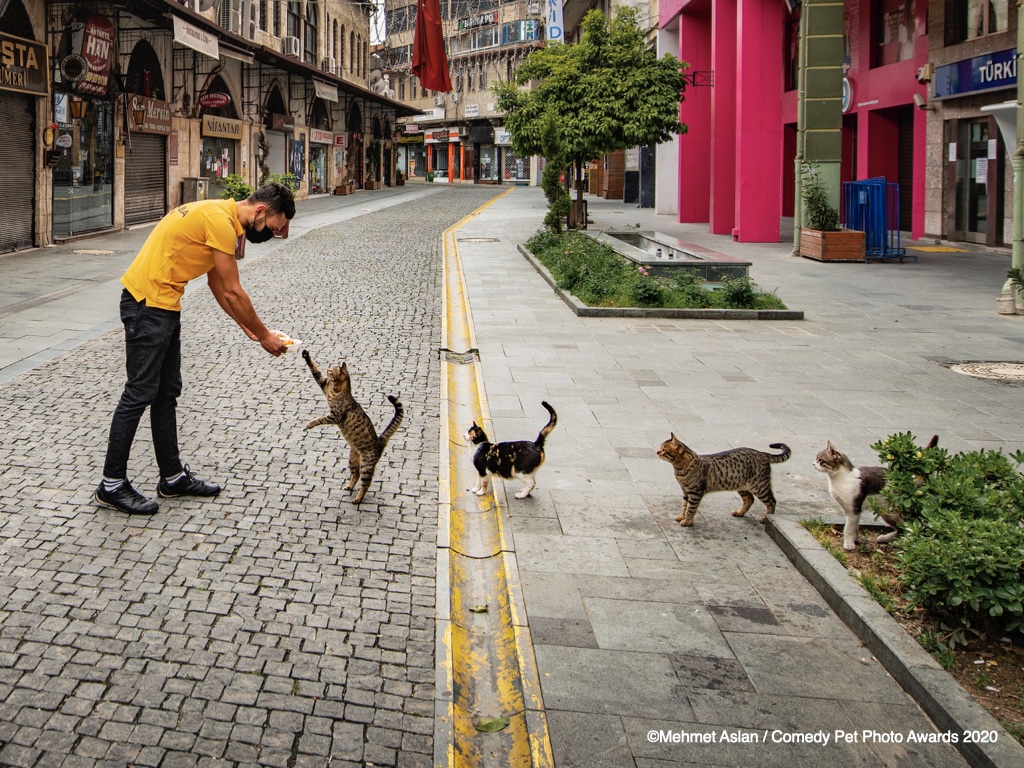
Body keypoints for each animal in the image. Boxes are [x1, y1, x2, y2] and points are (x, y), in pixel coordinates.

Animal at [299, 348, 403, 505]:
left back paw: (358, 498)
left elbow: (320, 419)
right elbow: (314, 369)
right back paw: (349, 486)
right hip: (353, 460)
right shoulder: (323, 383)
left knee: (366, 483)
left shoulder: (334, 416)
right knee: (356, 475)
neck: (336, 390)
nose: (327, 369)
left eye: (331, 371)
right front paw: (306, 354)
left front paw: (310, 424)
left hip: (366, 465)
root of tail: (380, 442)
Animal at [655, 434, 790, 528]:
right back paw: (740, 513)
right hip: (741, 485)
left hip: (759, 486)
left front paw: (687, 521)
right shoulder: (686, 492)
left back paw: (766, 518)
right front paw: (682, 516)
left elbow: (690, 508)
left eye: (663, 449)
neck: (680, 468)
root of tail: (762, 453)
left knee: (772, 501)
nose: (657, 452)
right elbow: (684, 506)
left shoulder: (695, 492)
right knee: (749, 499)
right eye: (660, 448)